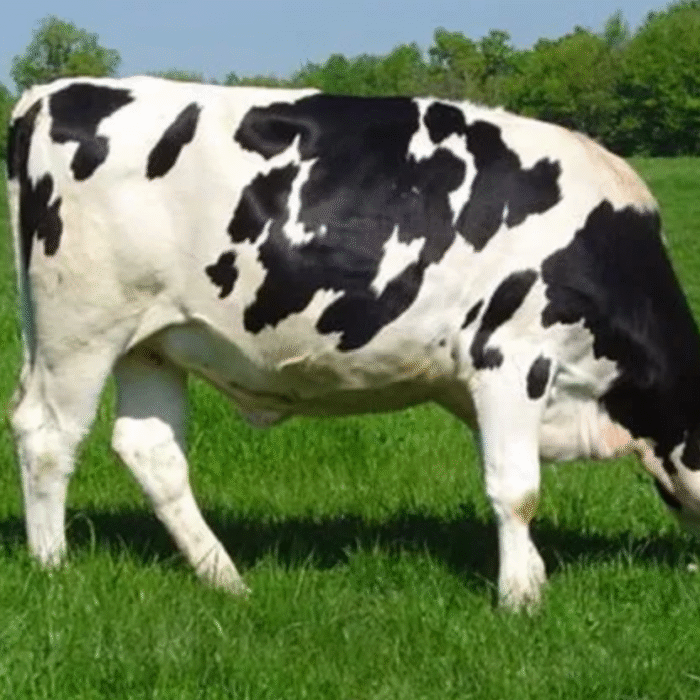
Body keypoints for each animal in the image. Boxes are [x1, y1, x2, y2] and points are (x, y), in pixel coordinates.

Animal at [7, 76, 700, 611]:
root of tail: (53, 91)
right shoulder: (508, 356)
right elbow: (517, 489)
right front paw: (522, 597)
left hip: (150, 341)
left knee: (150, 450)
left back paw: (225, 578)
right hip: (81, 325)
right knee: (47, 434)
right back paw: (53, 567)